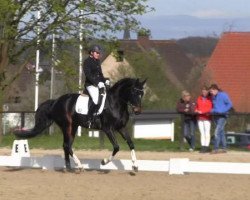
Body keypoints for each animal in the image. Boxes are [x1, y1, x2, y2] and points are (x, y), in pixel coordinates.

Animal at [14, 77, 146, 171]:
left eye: (142, 93)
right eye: (134, 91)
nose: (138, 111)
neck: (116, 103)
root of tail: (56, 101)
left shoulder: (121, 127)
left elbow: (131, 144)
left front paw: (135, 166)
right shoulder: (108, 129)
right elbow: (117, 147)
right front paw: (104, 162)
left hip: (73, 127)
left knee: (66, 145)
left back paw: (69, 168)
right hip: (67, 126)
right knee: (67, 145)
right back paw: (79, 166)